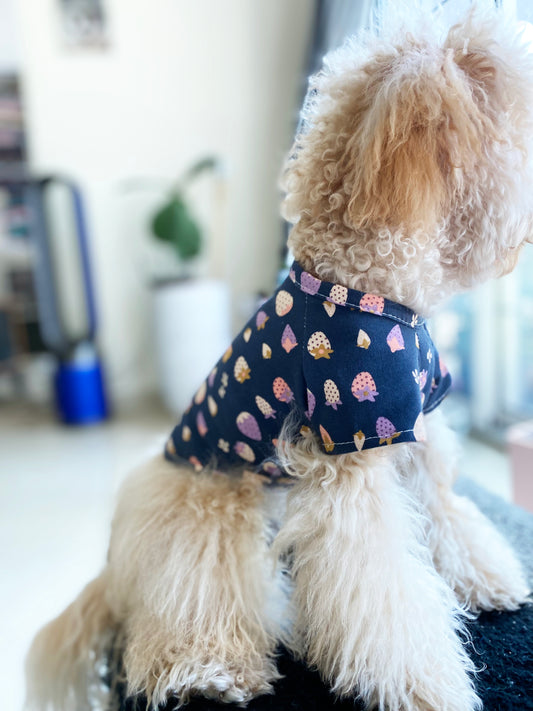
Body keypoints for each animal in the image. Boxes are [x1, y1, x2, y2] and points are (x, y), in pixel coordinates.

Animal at [25, 6, 532, 711]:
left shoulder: (416, 432)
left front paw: (486, 580)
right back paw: (208, 669)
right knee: (183, 612)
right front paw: (424, 681)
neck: (367, 286)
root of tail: (115, 564)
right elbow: (382, 586)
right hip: (214, 509)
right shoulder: (349, 459)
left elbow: (447, 513)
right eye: (505, 98)